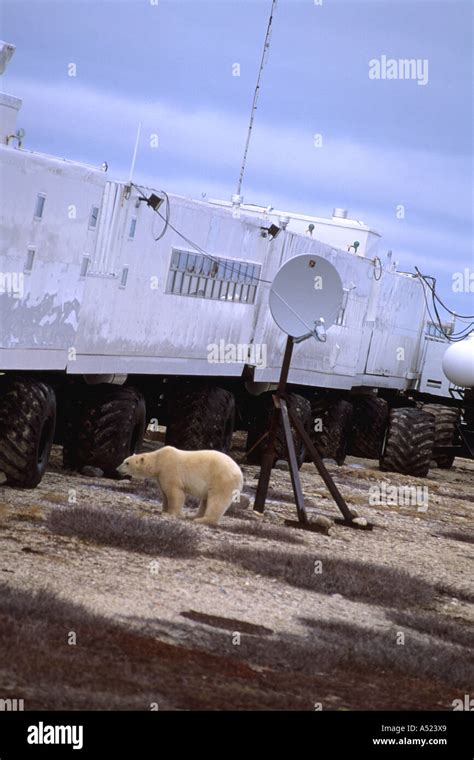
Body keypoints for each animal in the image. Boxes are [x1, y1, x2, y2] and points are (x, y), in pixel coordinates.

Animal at [116, 448, 244, 524]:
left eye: (127, 463)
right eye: (124, 460)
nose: (117, 469)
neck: (159, 459)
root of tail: (240, 473)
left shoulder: (169, 470)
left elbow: (175, 493)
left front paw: (171, 514)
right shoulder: (160, 476)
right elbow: (164, 494)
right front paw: (162, 510)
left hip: (221, 479)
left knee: (217, 500)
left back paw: (202, 519)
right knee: (206, 500)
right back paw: (193, 516)